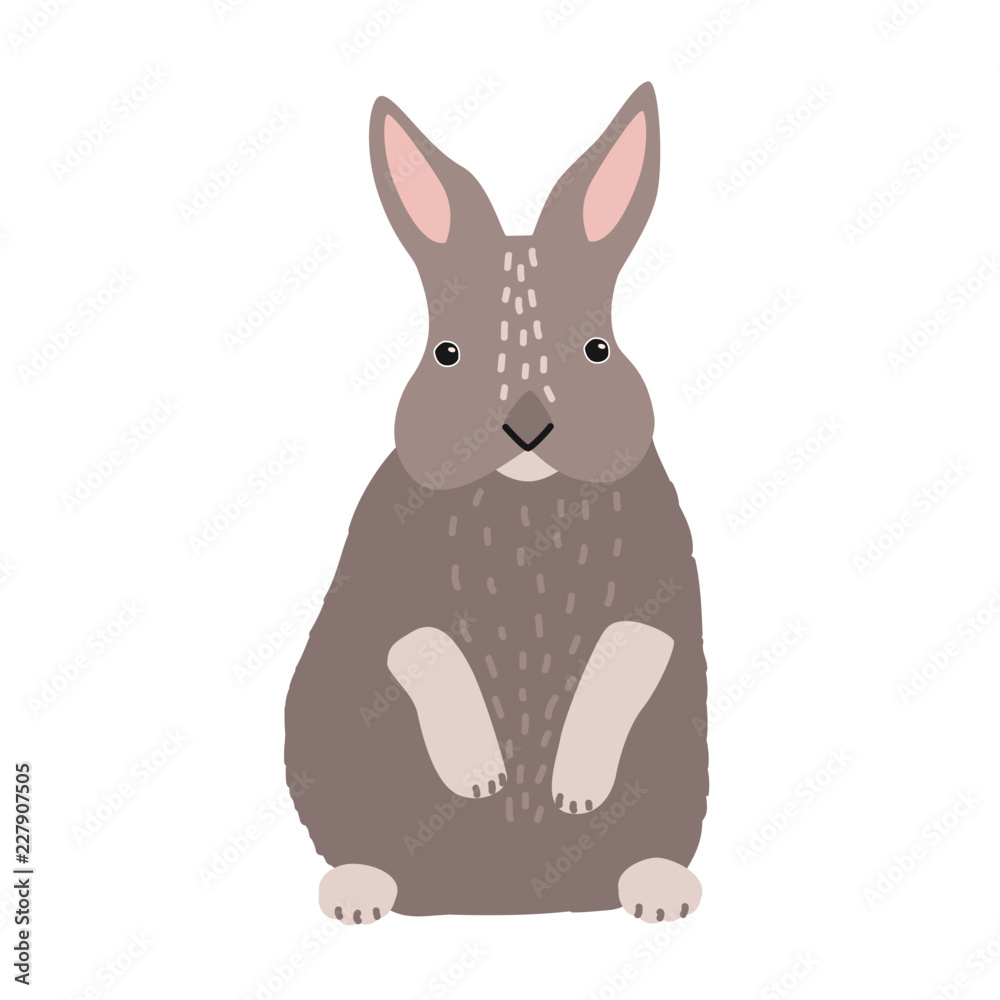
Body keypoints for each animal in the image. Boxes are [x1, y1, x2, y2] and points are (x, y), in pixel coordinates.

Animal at [284, 81, 708, 924]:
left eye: (597, 350)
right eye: (447, 354)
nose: (527, 428)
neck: (525, 501)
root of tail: (506, 898)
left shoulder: (657, 585)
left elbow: (630, 653)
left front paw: (575, 792)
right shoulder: (382, 581)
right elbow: (417, 646)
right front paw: (481, 777)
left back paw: (657, 891)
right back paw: (358, 893)